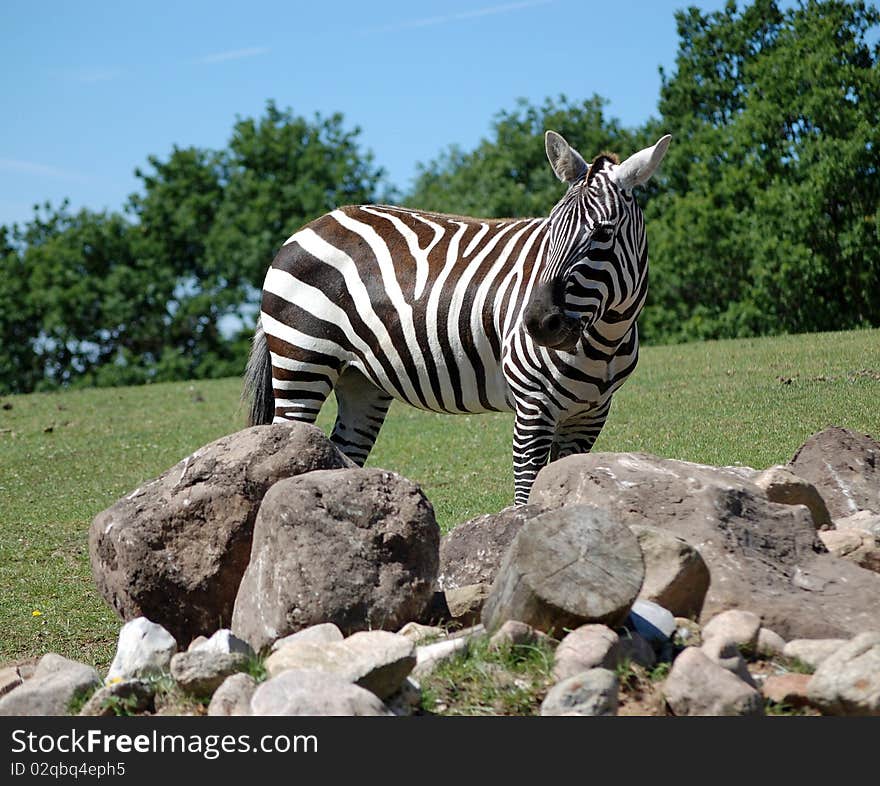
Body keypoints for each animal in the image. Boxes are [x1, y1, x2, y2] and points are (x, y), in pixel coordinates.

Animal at [244, 130, 672, 502]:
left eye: (603, 233)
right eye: (549, 231)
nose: (536, 323)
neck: (605, 338)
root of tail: (311, 225)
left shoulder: (590, 414)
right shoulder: (533, 407)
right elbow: (526, 496)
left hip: (361, 381)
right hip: (302, 362)